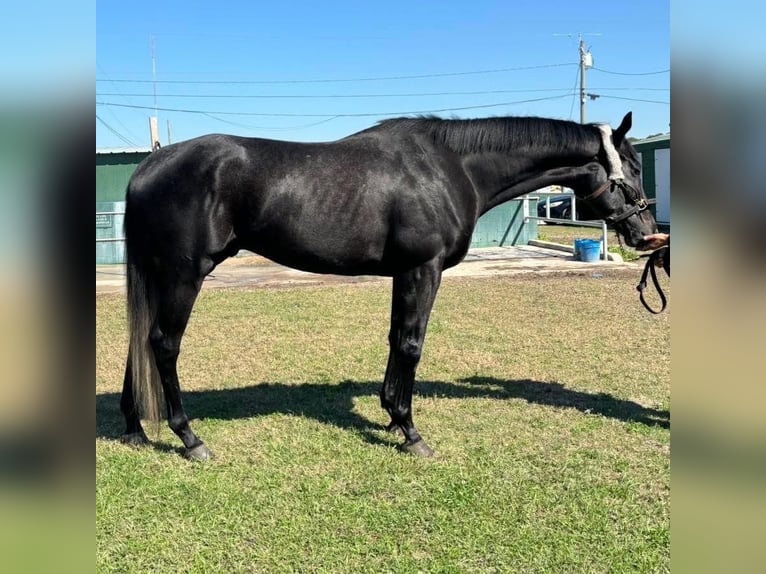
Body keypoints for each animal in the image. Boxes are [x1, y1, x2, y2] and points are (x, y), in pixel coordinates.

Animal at [121, 113, 660, 464]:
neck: (452, 167)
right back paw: (190, 439)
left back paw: (134, 428)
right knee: (163, 344)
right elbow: (412, 343)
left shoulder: (406, 272)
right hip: (185, 274)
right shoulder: (424, 268)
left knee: (138, 343)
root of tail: (149, 167)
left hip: (157, 274)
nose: (647, 234)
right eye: (632, 168)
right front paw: (411, 431)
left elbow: (395, 339)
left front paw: (391, 417)